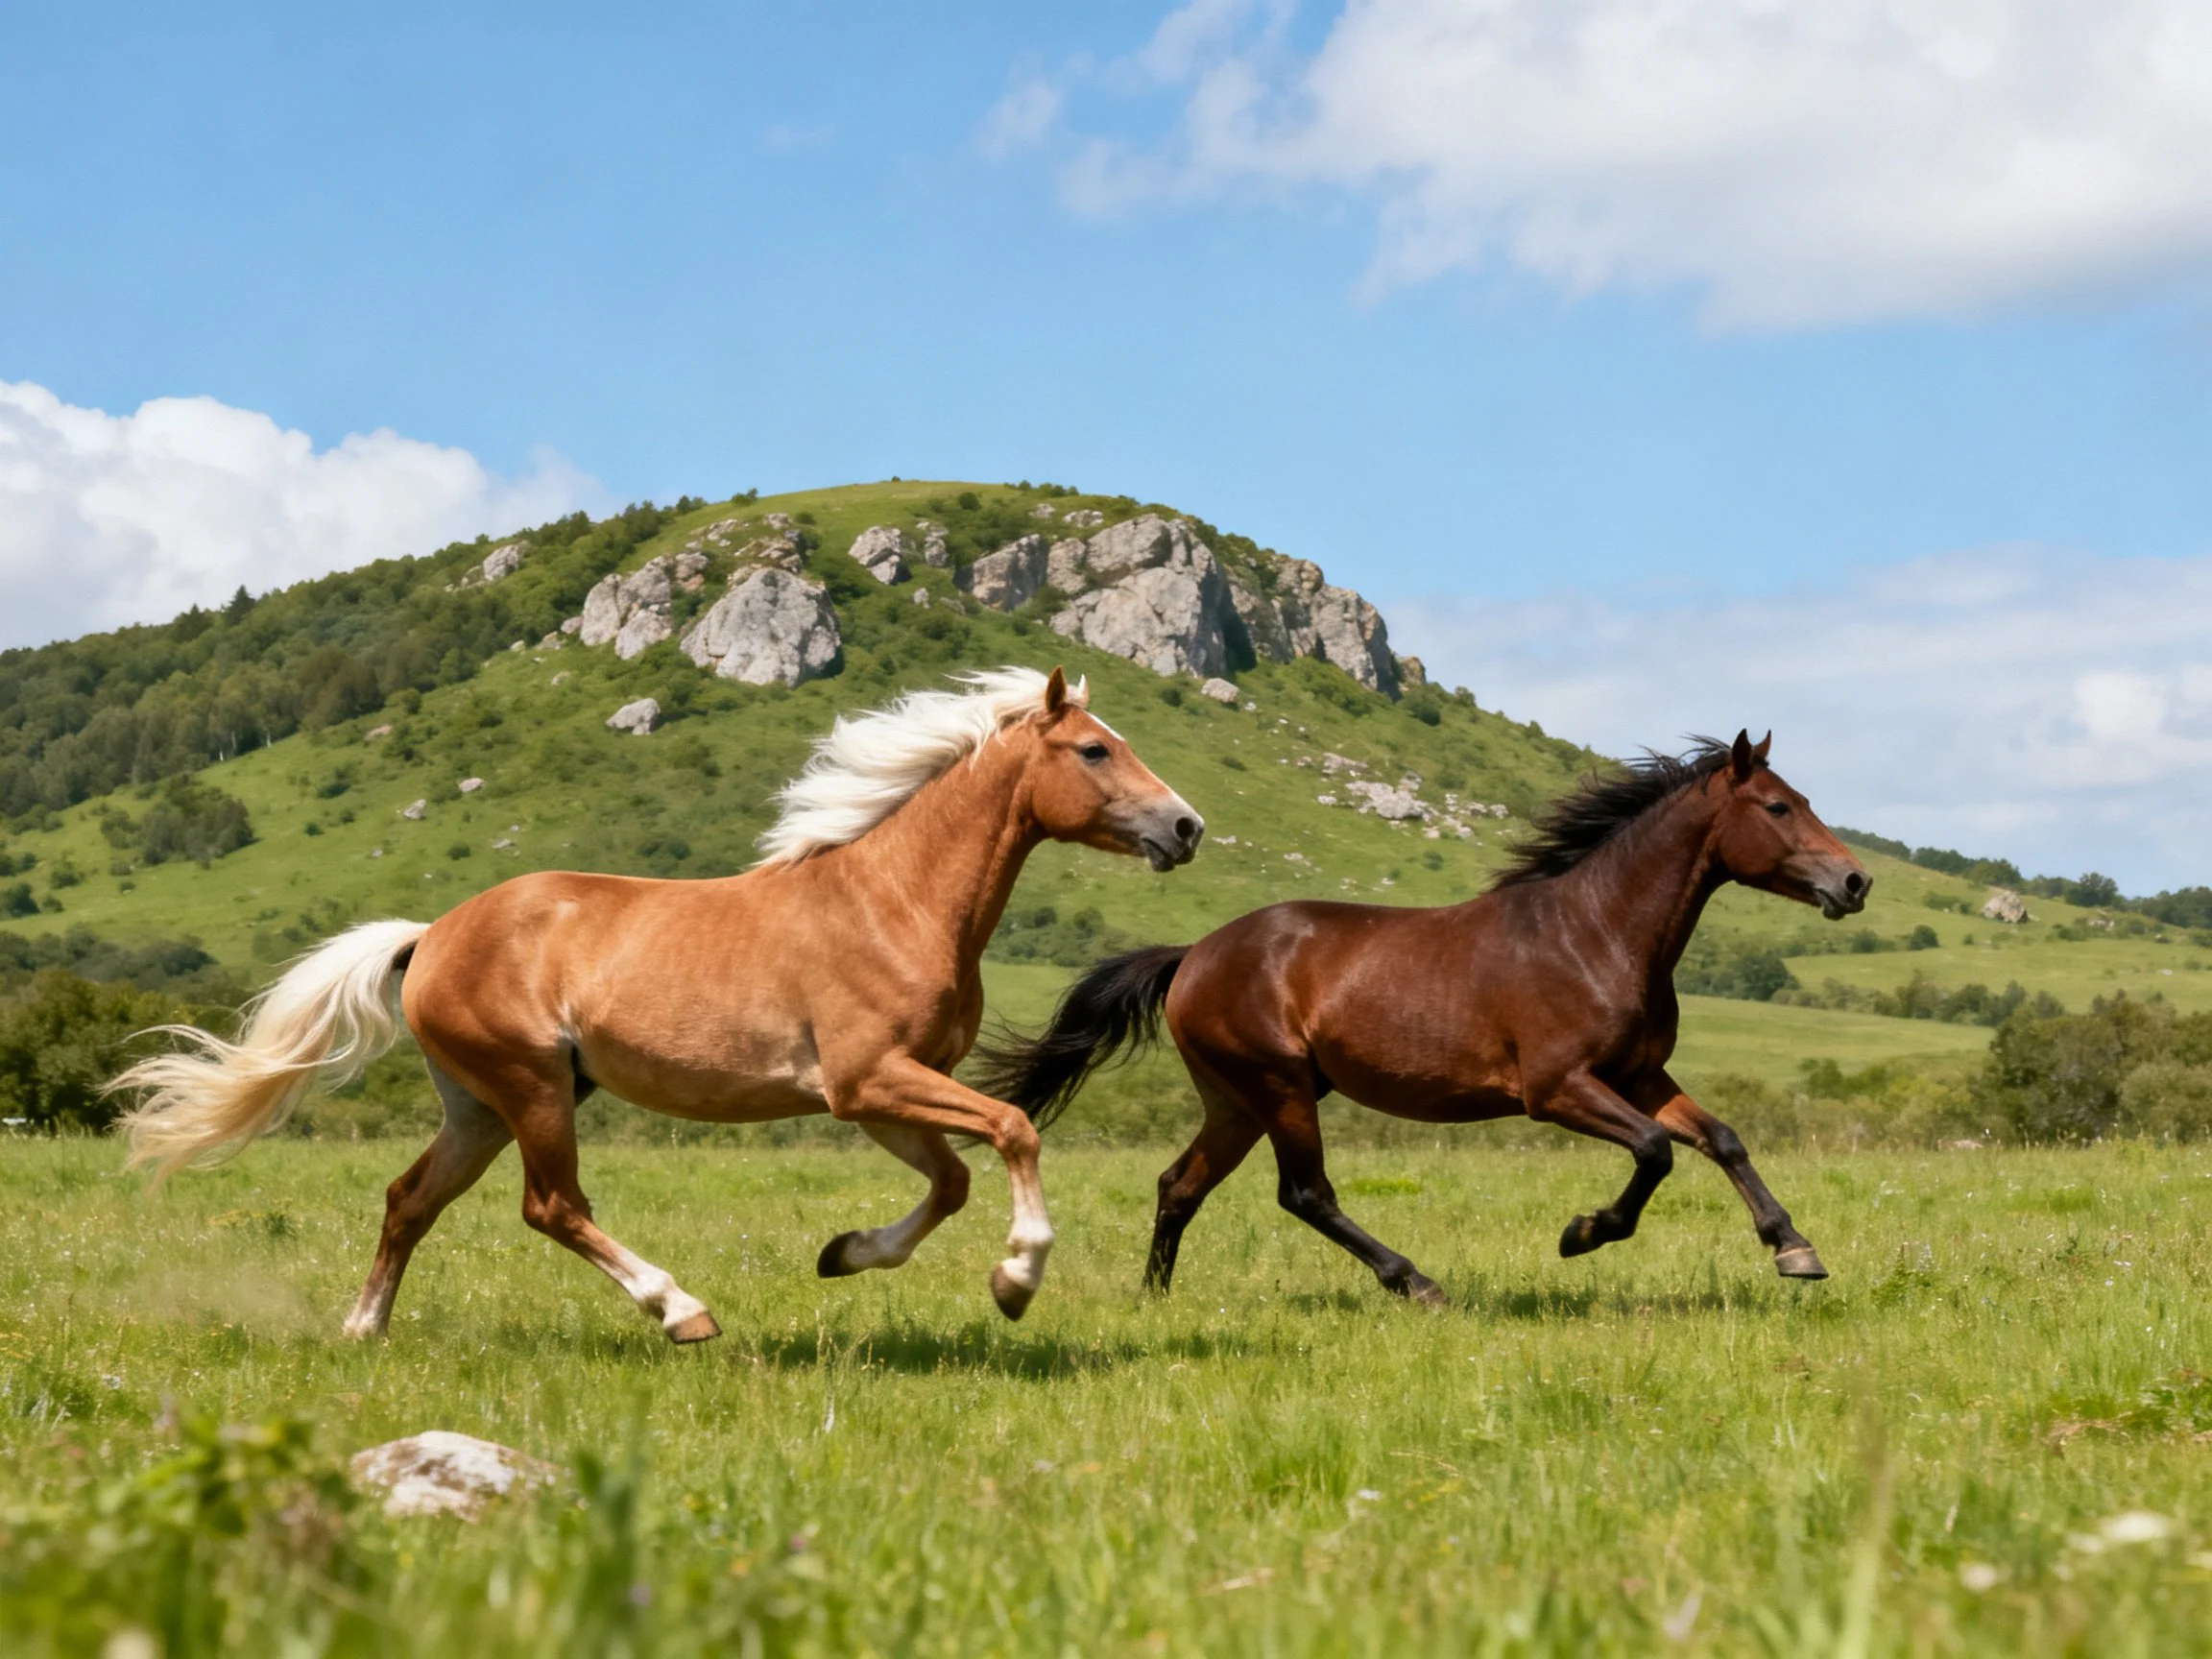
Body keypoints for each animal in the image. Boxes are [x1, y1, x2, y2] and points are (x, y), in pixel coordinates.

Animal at [113, 667, 1204, 1340]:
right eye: (1096, 752)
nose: (1187, 827)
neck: (893, 901)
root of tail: (430, 936)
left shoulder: (880, 1096)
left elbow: (950, 1184)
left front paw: (844, 1255)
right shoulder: (870, 1081)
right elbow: (1013, 1133)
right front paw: (1016, 1281)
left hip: (482, 1105)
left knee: (409, 1199)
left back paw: (362, 1329)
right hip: (533, 1088)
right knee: (552, 1206)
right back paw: (682, 1311)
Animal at [978, 731, 1868, 1305]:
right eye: (1778, 807)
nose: (1856, 882)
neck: (1599, 933)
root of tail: (1193, 954)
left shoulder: (1641, 1075)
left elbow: (1721, 1139)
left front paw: (1795, 1249)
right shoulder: (1558, 1088)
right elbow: (1655, 1152)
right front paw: (1582, 1233)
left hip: (1239, 1100)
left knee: (1180, 1184)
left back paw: (1155, 1297)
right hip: (1278, 1088)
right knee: (1305, 1193)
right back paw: (1417, 1282)